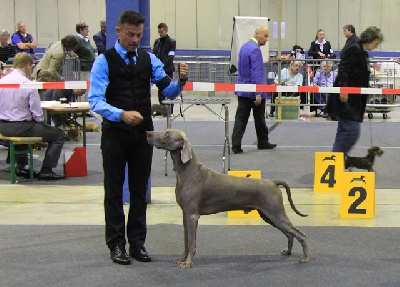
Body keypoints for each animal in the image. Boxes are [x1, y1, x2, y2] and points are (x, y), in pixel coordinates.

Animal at [146, 129, 310, 268]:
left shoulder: (192, 215)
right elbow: (186, 241)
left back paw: (305, 257)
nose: (148, 132)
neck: (187, 172)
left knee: (300, 234)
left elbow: (191, 243)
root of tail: (272, 181)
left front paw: (188, 263)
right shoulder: (185, 215)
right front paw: (182, 259)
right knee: (289, 234)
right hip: (268, 216)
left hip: (275, 213)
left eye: (167, 134)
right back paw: (288, 252)